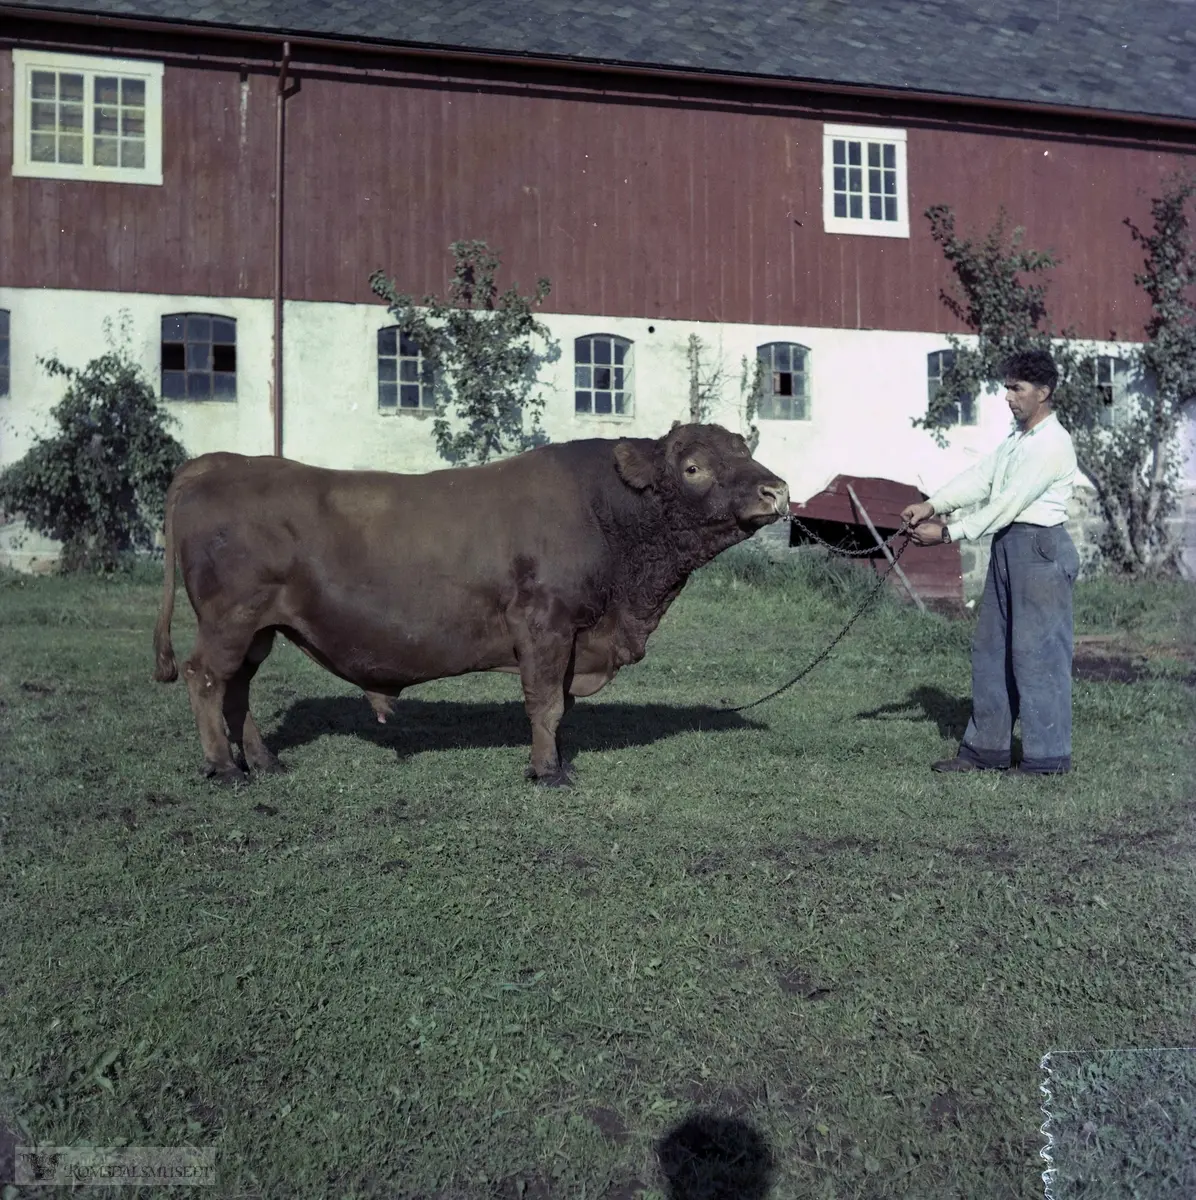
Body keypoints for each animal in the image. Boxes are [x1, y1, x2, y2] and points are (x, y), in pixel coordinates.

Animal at [155, 424, 791, 787]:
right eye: (693, 467)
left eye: (746, 451)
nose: (777, 491)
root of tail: (219, 462)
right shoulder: (544, 624)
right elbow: (546, 704)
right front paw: (546, 771)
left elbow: (559, 704)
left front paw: (556, 760)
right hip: (230, 619)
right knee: (205, 677)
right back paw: (224, 768)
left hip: (257, 629)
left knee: (237, 689)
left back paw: (263, 762)